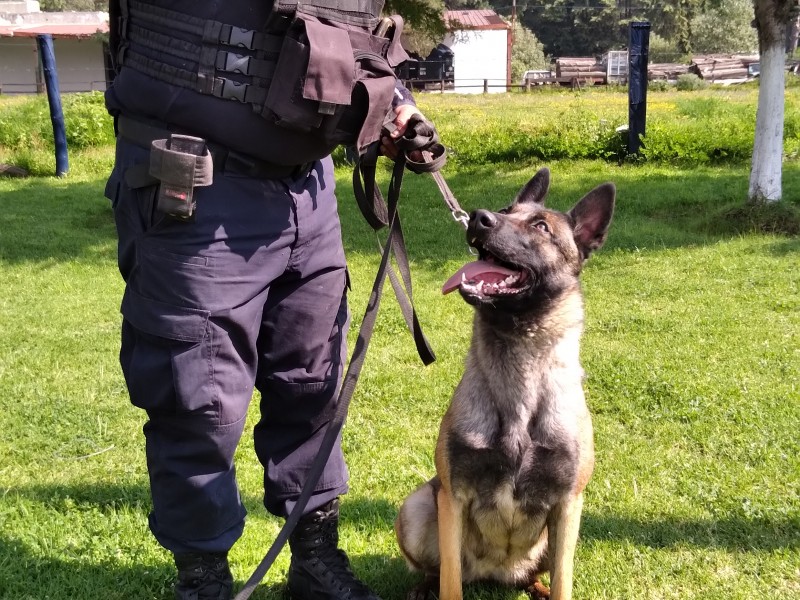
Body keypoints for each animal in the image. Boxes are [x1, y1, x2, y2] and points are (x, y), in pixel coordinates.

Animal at [392, 165, 612, 600]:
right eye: (505, 210)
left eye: (541, 227)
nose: (479, 218)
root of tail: (495, 574)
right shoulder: (452, 497)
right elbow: (450, 582)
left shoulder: (568, 504)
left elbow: (563, 582)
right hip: (418, 507)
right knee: (439, 569)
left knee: (540, 574)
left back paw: (535, 586)